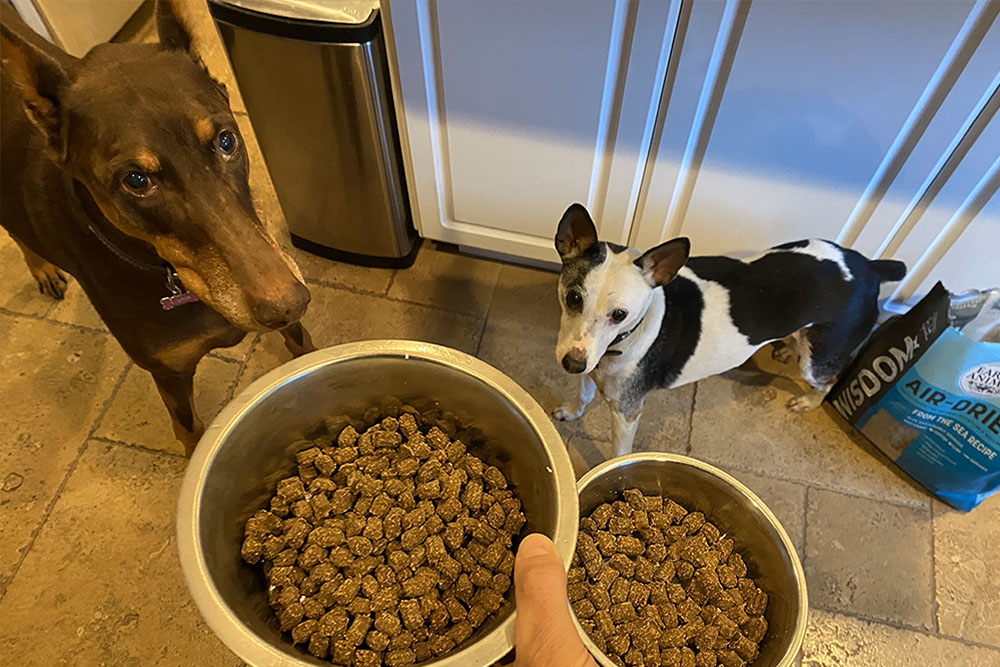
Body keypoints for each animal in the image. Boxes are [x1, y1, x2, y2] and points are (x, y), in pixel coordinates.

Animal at [1, 0, 314, 456]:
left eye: (226, 140)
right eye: (136, 180)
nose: (287, 303)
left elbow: (304, 347)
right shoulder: (170, 372)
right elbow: (189, 430)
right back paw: (41, 268)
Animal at [556, 201, 908, 456]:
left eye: (620, 314)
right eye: (573, 298)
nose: (571, 364)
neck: (626, 339)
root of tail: (869, 267)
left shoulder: (627, 411)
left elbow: (619, 453)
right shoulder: (590, 364)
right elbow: (584, 393)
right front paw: (572, 411)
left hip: (821, 358)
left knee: (828, 379)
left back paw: (808, 401)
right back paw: (786, 346)